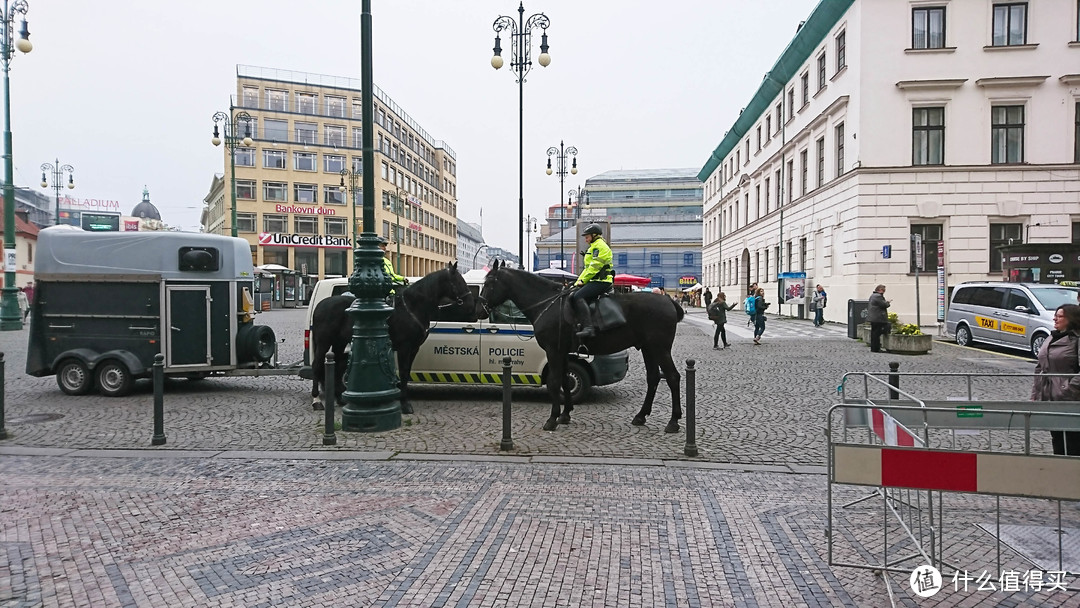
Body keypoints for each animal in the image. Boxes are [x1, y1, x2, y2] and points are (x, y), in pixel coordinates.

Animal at [306, 261, 470, 414]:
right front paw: (405, 404)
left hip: (339, 342)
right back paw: (316, 401)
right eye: (459, 281)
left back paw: (339, 399)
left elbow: (407, 372)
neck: (413, 307)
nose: (470, 301)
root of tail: (320, 305)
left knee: (338, 366)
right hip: (324, 342)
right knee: (316, 365)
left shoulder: (414, 348)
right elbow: (403, 372)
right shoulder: (405, 347)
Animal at [479, 261, 682, 431]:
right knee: (653, 378)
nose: (479, 308)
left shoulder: (553, 351)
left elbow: (554, 382)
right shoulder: (563, 352)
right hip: (649, 349)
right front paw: (565, 414)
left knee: (672, 377)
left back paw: (673, 421)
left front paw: (552, 419)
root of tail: (668, 301)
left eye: (489, 283)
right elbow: (564, 380)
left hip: (660, 348)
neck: (548, 303)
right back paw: (641, 416)